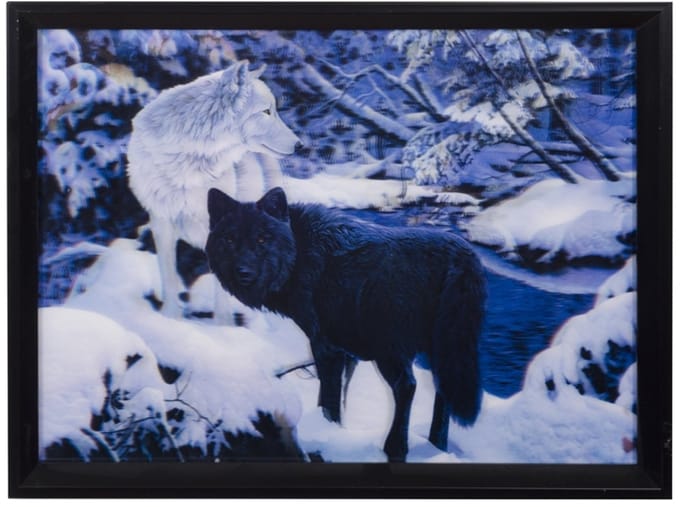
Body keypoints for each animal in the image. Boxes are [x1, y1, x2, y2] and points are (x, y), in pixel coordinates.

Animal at [127, 60, 300, 320]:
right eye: (266, 112)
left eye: (274, 110)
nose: (300, 144)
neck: (187, 164)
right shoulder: (161, 223)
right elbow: (169, 280)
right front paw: (170, 320)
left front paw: (223, 327)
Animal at [205, 187, 486, 462]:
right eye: (229, 240)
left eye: (262, 239)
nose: (243, 272)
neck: (300, 254)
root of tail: (463, 254)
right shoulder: (345, 352)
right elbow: (338, 397)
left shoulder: (324, 346)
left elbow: (329, 400)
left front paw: (326, 435)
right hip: (443, 351)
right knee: (443, 393)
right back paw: (437, 446)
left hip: (389, 350)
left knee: (407, 386)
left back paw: (395, 449)